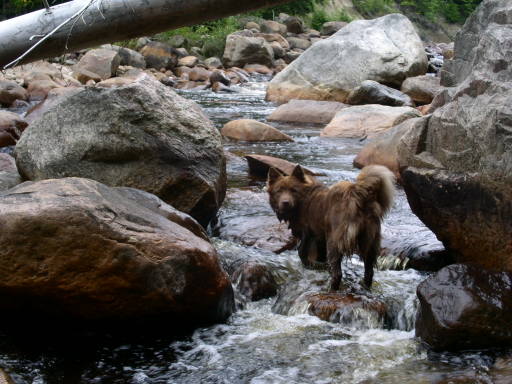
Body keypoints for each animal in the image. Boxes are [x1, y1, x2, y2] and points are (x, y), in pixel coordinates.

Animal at [268, 164, 396, 290]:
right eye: (279, 191)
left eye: (293, 190)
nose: (285, 202)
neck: (303, 199)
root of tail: (358, 195)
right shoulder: (320, 238)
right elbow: (320, 257)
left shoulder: (307, 234)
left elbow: (302, 253)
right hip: (369, 241)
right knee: (369, 272)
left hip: (335, 241)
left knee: (337, 273)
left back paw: (331, 288)